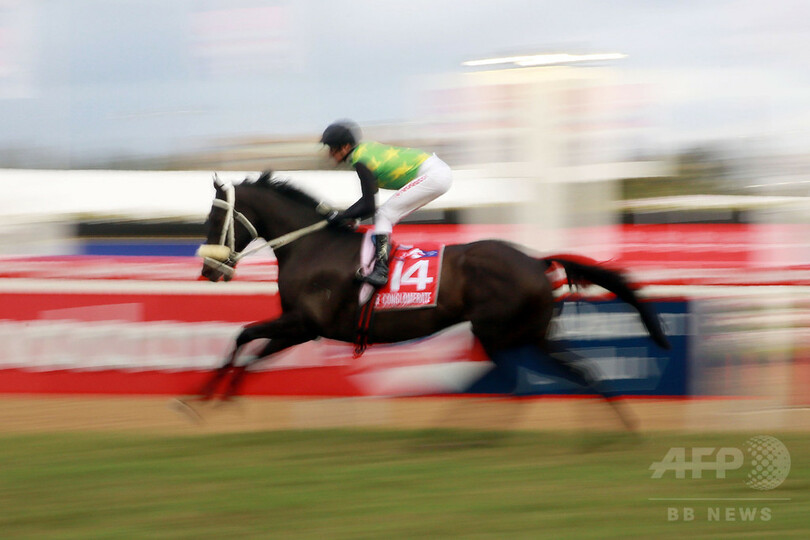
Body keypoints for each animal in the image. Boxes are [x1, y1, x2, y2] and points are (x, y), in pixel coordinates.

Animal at [189, 171, 668, 428]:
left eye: (214, 217)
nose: (209, 271)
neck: (310, 246)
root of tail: (536, 261)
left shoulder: (306, 323)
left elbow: (242, 335)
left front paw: (200, 400)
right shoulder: (301, 327)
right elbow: (251, 349)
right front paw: (221, 398)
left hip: (498, 333)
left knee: (514, 384)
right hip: (531, 333)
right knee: (578, 374)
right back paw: (617, 426)